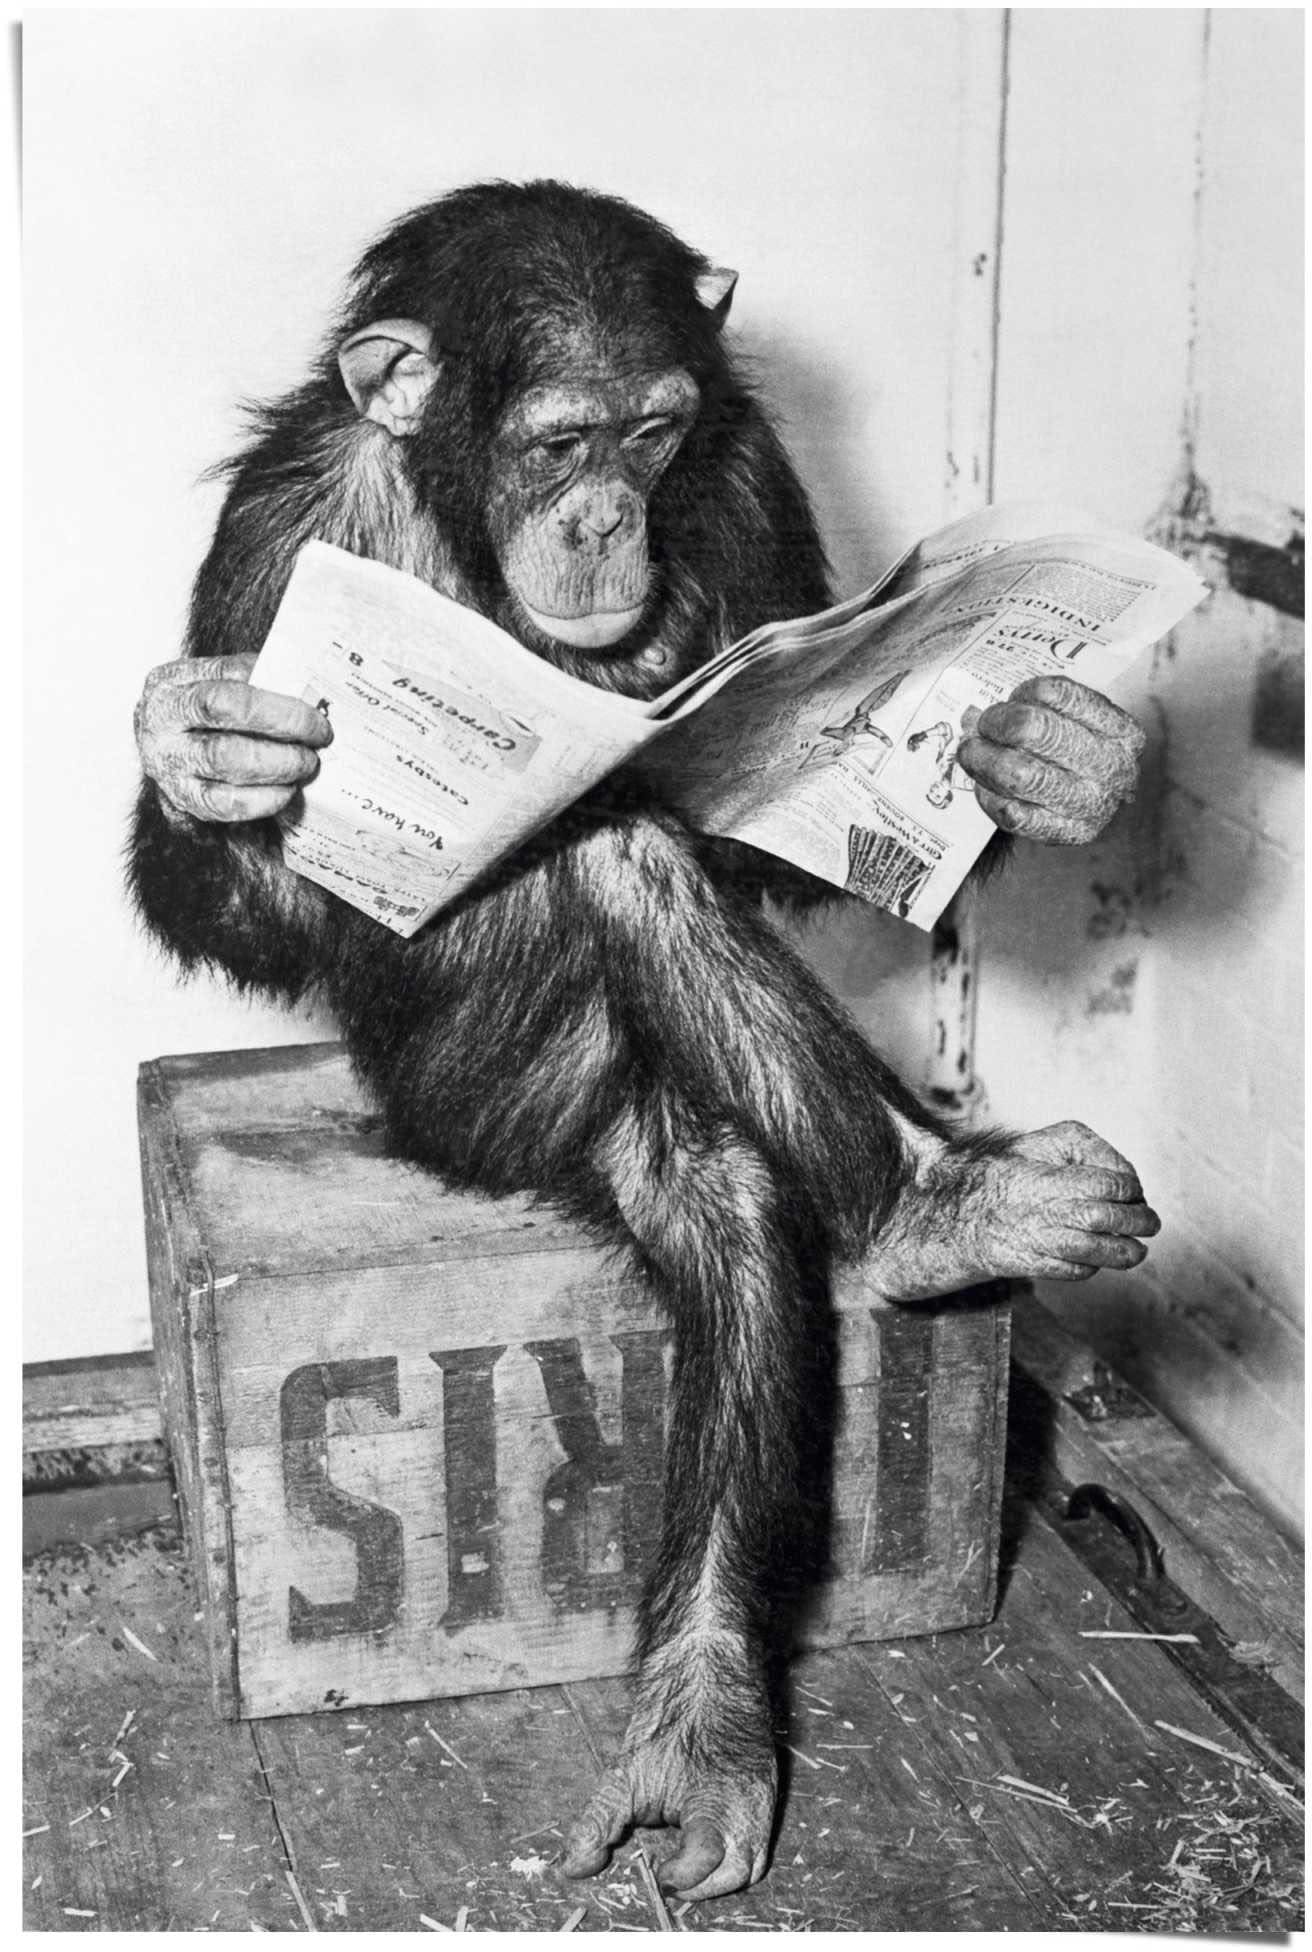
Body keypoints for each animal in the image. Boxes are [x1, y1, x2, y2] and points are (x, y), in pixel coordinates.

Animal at [129, 181, 1157, 1903]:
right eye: (557, 442)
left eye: (656, 431)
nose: (607, 515)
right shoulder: (281, 531)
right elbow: (252, 900)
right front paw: (207, 748)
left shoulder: (747, 476)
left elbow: (766, 826)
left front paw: (1050, 755)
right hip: (487, 1100)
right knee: (620, 891)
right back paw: (929, 1214)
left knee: (714, 1126)